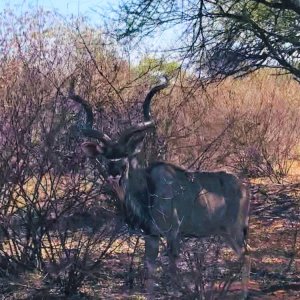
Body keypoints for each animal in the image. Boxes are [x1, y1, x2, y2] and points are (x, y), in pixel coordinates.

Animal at [68, 79, 251, 298]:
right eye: (105, 156)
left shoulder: (173, 234)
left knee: (246, 256)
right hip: (225, 232)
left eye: (125, 156)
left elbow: (172, 274)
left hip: (234, 230)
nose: (114, 173)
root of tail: (243, 188)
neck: (148, 190)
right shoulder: (151, 236)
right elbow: (150, 274)